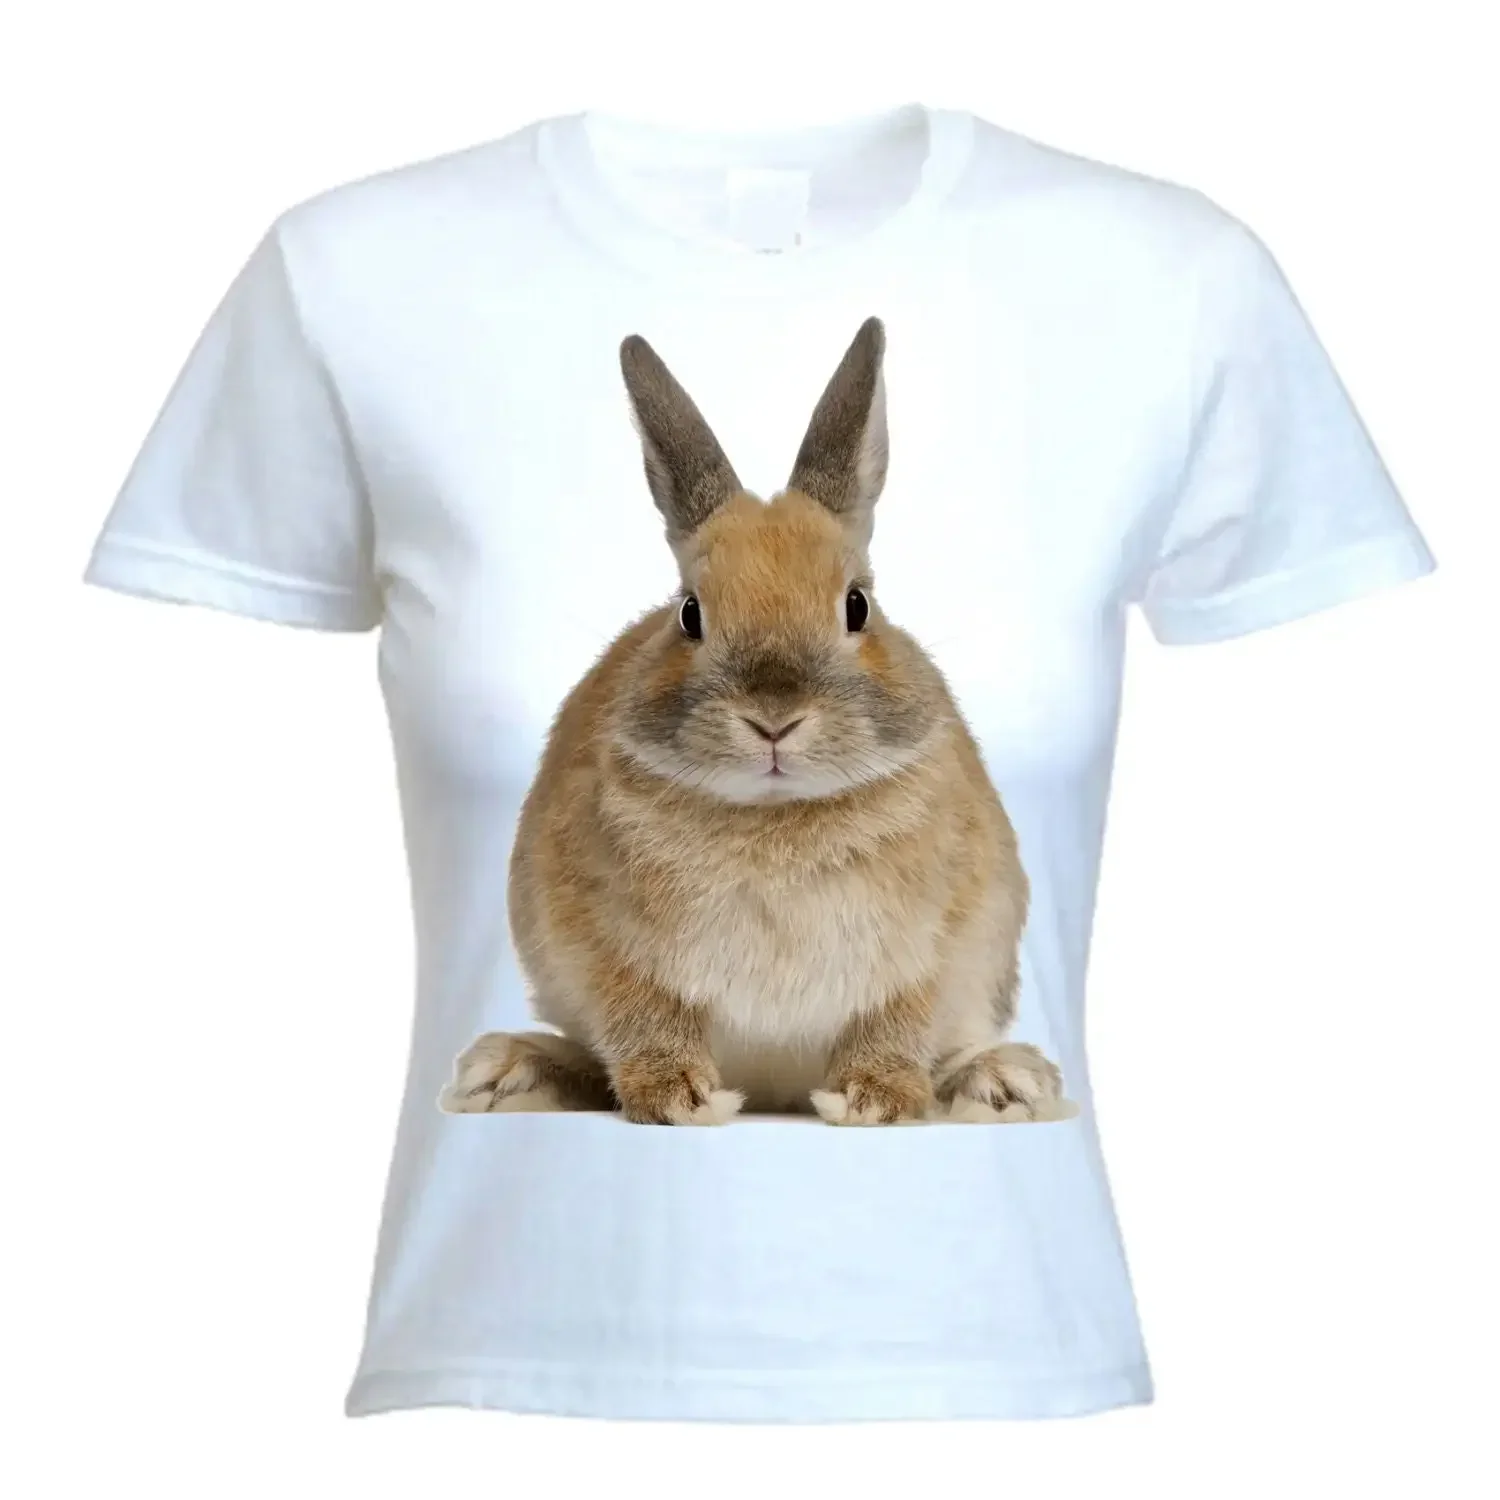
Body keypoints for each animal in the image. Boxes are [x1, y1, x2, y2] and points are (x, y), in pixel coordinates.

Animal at [441, 318, 1073, 1125]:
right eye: (689, 613)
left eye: (857, 605)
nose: (774, 720)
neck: (776, 819)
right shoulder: (605, 950)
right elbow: (644, 1023)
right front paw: (677, 1099)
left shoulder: (928, 953)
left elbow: (896, 1027)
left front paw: (875, 1101)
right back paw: (510, 1071)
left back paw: (1006, 1081)